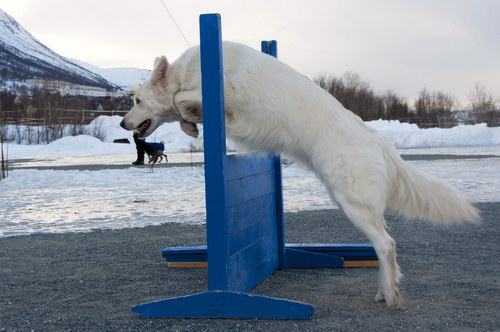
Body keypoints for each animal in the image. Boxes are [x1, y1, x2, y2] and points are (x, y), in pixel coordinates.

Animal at [119, 41, 478, 308]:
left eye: (139, 100)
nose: (123, 124)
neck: (193, 70)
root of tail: (381, 143)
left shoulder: (227, 96)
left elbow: (180, 98)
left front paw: (189, 117)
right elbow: (182, 106)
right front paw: (190, 125)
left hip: (353, 203)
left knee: (386, 245)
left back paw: (390, 294)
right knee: (382, 247)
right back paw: (382, 290)